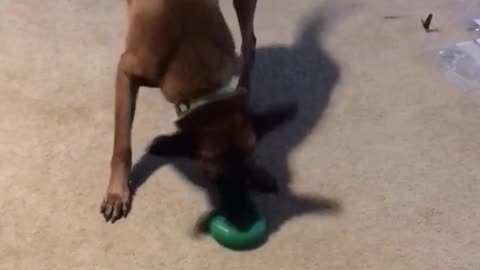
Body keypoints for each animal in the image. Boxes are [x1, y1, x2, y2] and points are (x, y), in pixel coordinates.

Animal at [100, 0, 260, 224]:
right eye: (214, 171)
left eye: (246, 159)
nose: (244, 215)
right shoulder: (125, 71)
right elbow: (122, 145)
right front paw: (116, 193)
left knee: (249, 44)